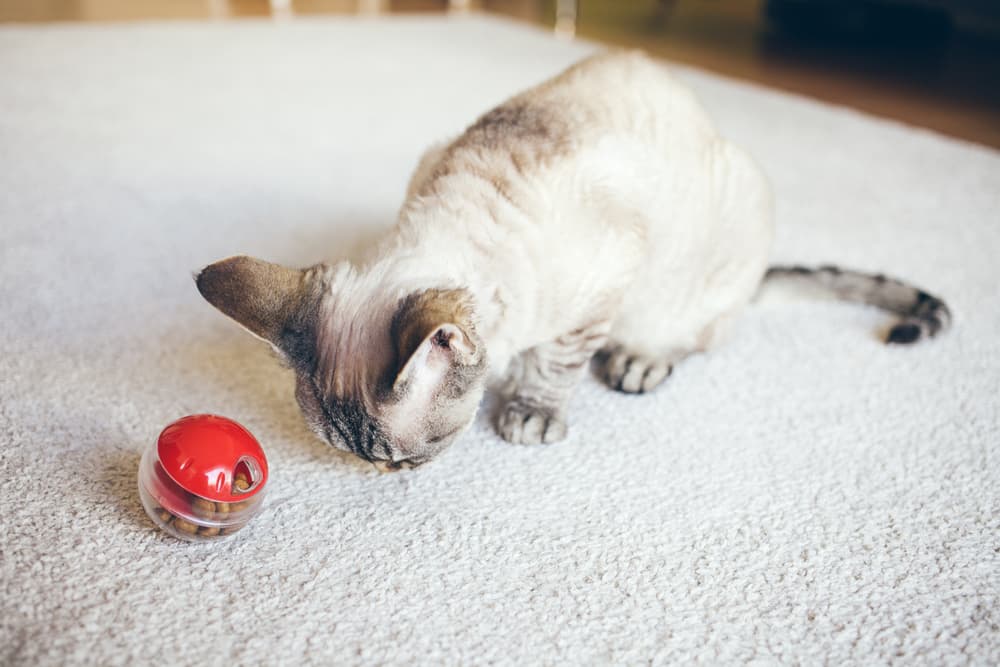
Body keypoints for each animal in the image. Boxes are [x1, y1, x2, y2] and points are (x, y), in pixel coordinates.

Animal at [197, 52, 952, 470]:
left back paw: (638, 361)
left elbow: (555, 364)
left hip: (712, 245)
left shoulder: (605, 285)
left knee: (695, 337)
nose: (391, 476)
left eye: (409, 456)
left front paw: (529, 410)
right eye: (369, 458)